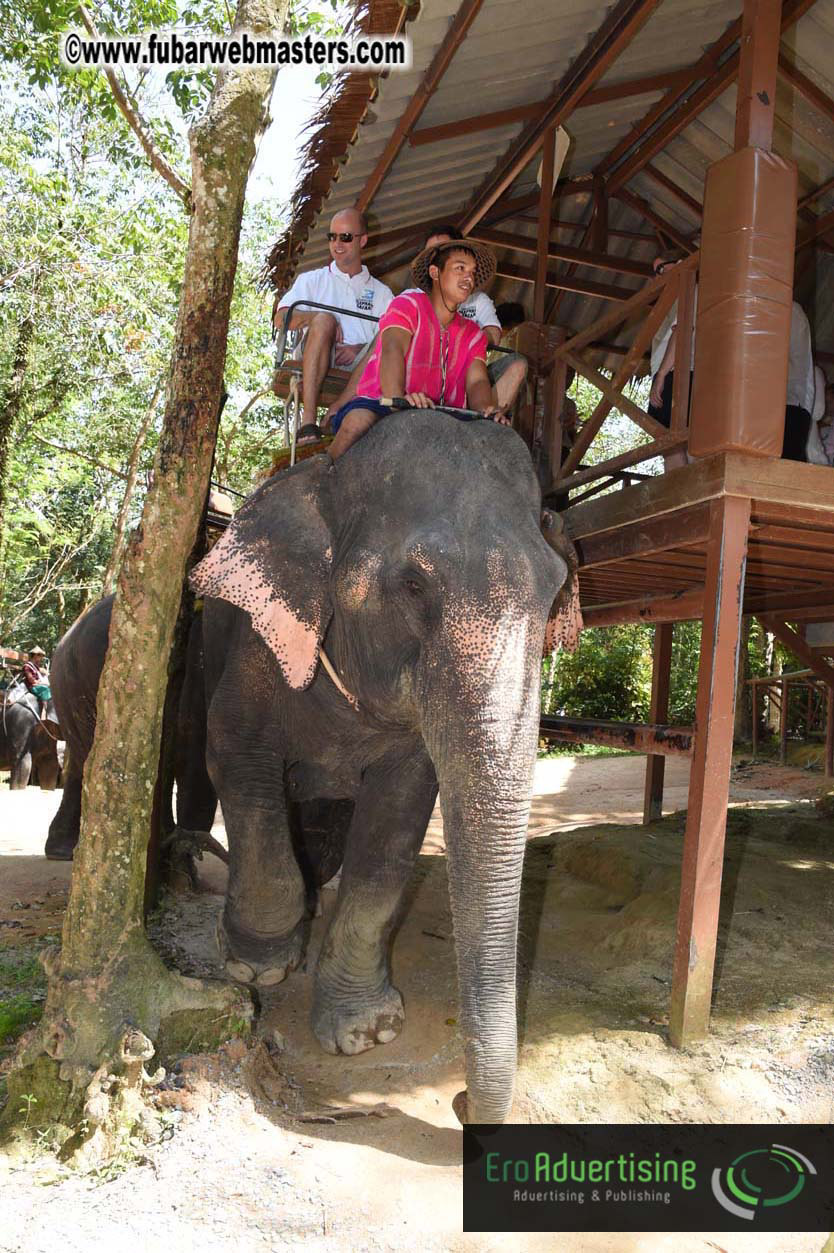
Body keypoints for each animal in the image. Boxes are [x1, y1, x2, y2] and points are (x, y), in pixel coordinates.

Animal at [190, 410, 582, 1124]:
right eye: (414, 585)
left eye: (554, 590)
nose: (459, 1102)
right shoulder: (261, 639)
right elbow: (234, 754)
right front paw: (256, 967)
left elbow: (392, 833)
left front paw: (364, 1033)